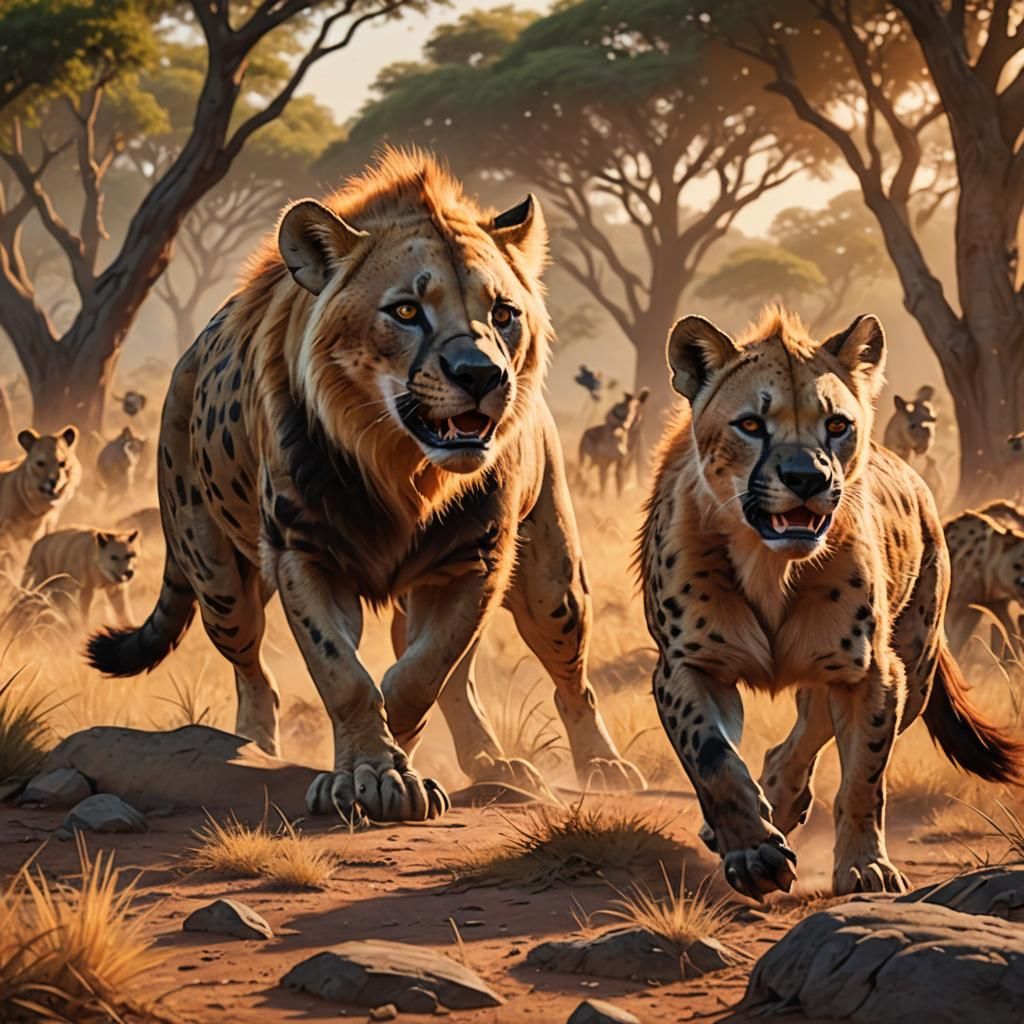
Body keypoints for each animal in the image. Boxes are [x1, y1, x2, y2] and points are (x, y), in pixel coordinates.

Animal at [88, 149, 642, 821]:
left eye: (502, 314)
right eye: (406, 311)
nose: (481, 374)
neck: (406, 471)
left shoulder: (478, 558)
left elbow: (421, 673)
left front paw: (397, 761)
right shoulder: (304, 554)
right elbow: (346, 677)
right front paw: (370, 774)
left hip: (552, 585)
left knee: (565, 682)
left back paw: (584, 768)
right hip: (217, 582)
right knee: (255, 676)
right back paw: (251, 748)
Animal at [639, 306, 1021, 898]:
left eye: (837, 425)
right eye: (752, 424)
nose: (806, 478)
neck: (771, 568)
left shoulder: (875, 671)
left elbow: (864, 777)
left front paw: (865, 867)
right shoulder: (688, 665)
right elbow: (713, 759)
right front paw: (753, 853)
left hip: (915, 668)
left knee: (809, 732)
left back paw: (783, 800)